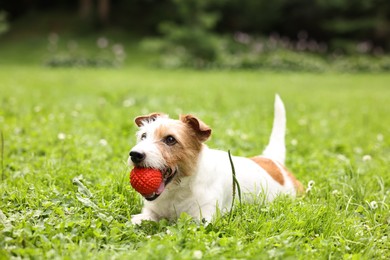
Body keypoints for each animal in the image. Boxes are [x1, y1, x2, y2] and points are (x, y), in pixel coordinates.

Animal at [129, 94, 304, 224]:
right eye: (143, 136)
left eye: (170, 139)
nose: (135, 154)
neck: (179, 190)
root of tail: (270, 159)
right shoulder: (151, 212)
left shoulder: (201, 219)